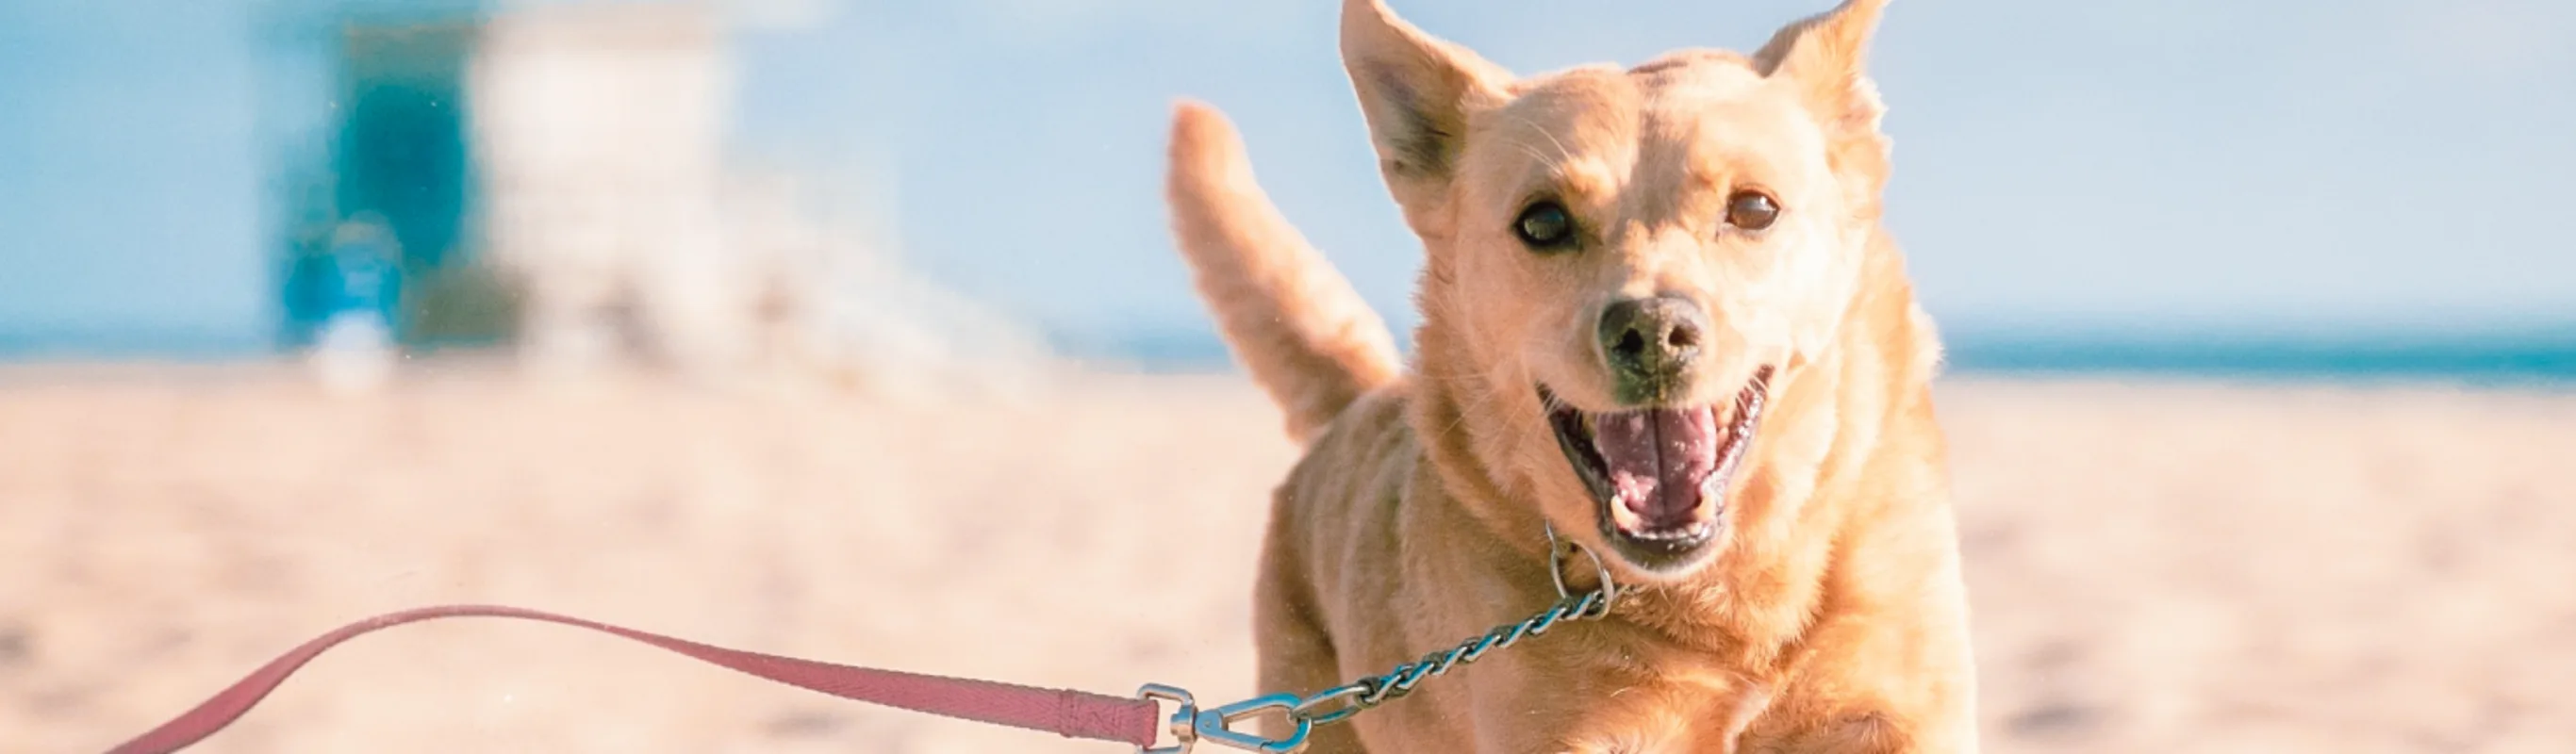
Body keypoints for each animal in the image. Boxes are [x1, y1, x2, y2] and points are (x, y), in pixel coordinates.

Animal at [1169, 1, 1968, 746]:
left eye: (1753, 208)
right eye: (1544, 223)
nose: (1653, 331)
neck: (1719, 603)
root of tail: (1360, 403)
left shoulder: (1895, 713)